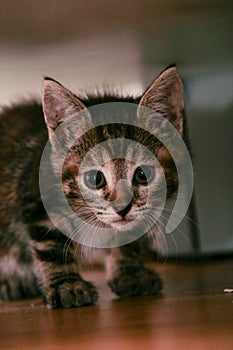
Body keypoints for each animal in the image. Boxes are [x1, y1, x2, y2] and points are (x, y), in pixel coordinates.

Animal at [0, 66, 185, 308]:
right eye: (94, 179)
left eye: (143, 174)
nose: (123, 208)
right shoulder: (38, 198)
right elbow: (50, 246)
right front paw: (67, 285)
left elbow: (129, 240)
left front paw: (130, 273)